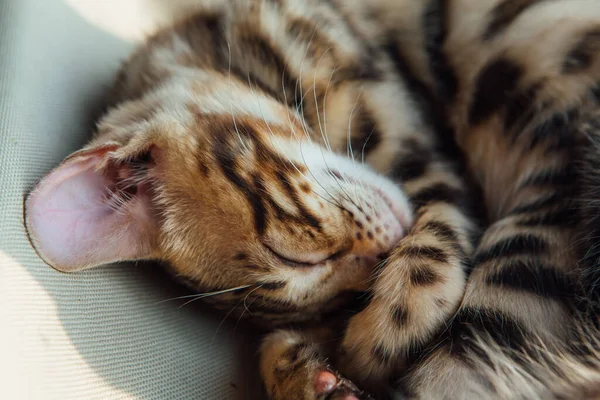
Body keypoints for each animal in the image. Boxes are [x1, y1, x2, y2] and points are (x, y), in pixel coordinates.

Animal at [25, 0, 600, 398]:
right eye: (330, 297)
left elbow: (437, 207)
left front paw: (388, 326)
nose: (377, 263)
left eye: (294, 254)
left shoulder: (409, 125)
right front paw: (308, 368)